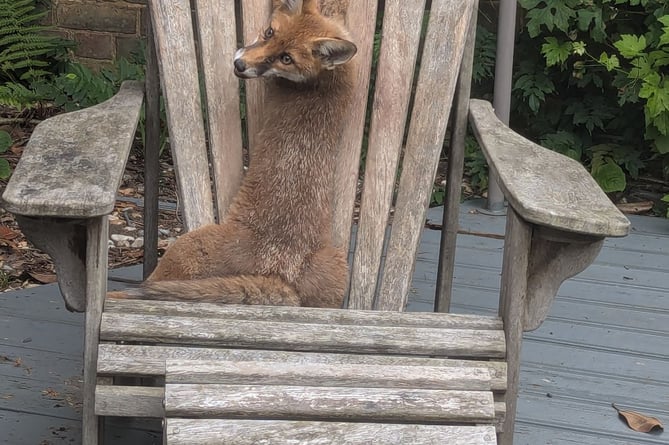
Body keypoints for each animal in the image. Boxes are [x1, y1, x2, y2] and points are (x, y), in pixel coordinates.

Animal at [109, 0, 358, 306]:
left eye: (286, 58)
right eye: (269, 32)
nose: (240, 65)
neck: (325, 80)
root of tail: (277, 272)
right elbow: (335, 8)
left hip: (186, 248)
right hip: (338, 271)